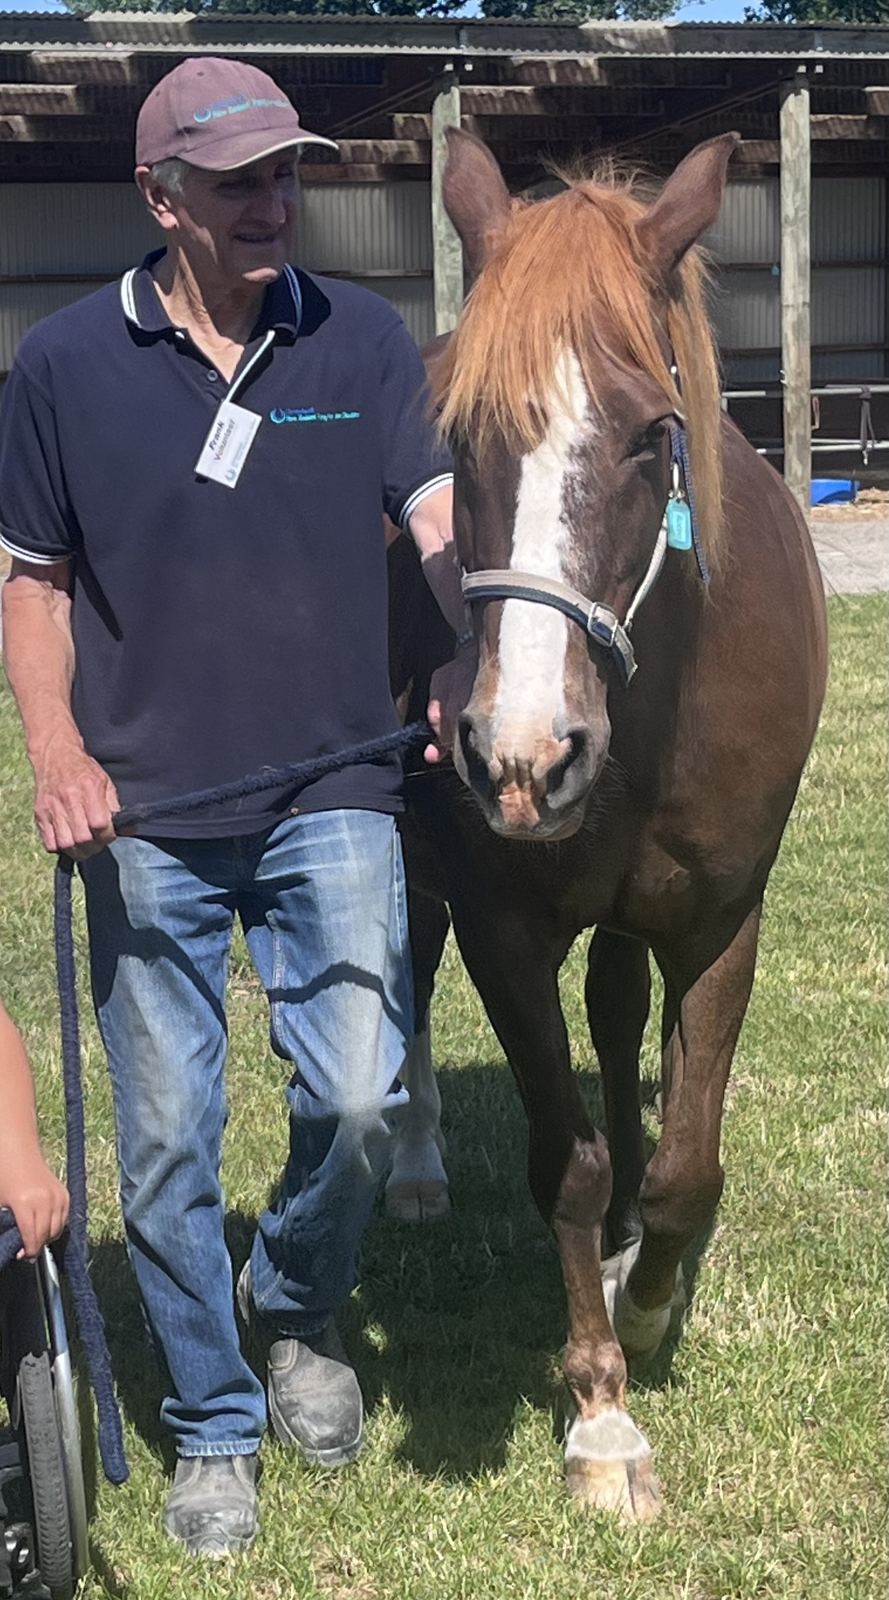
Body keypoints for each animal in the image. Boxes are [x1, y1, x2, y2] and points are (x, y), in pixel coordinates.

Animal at [386, 127, 828, 1520]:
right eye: (459, 433)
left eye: (652, 436)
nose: (525, 758)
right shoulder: (505, 928)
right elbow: (561, 1160)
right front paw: (600, 1408)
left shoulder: (722, 918)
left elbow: (690, 1161)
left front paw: (647, 1294)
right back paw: (415, 1167)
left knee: (626, 1021)